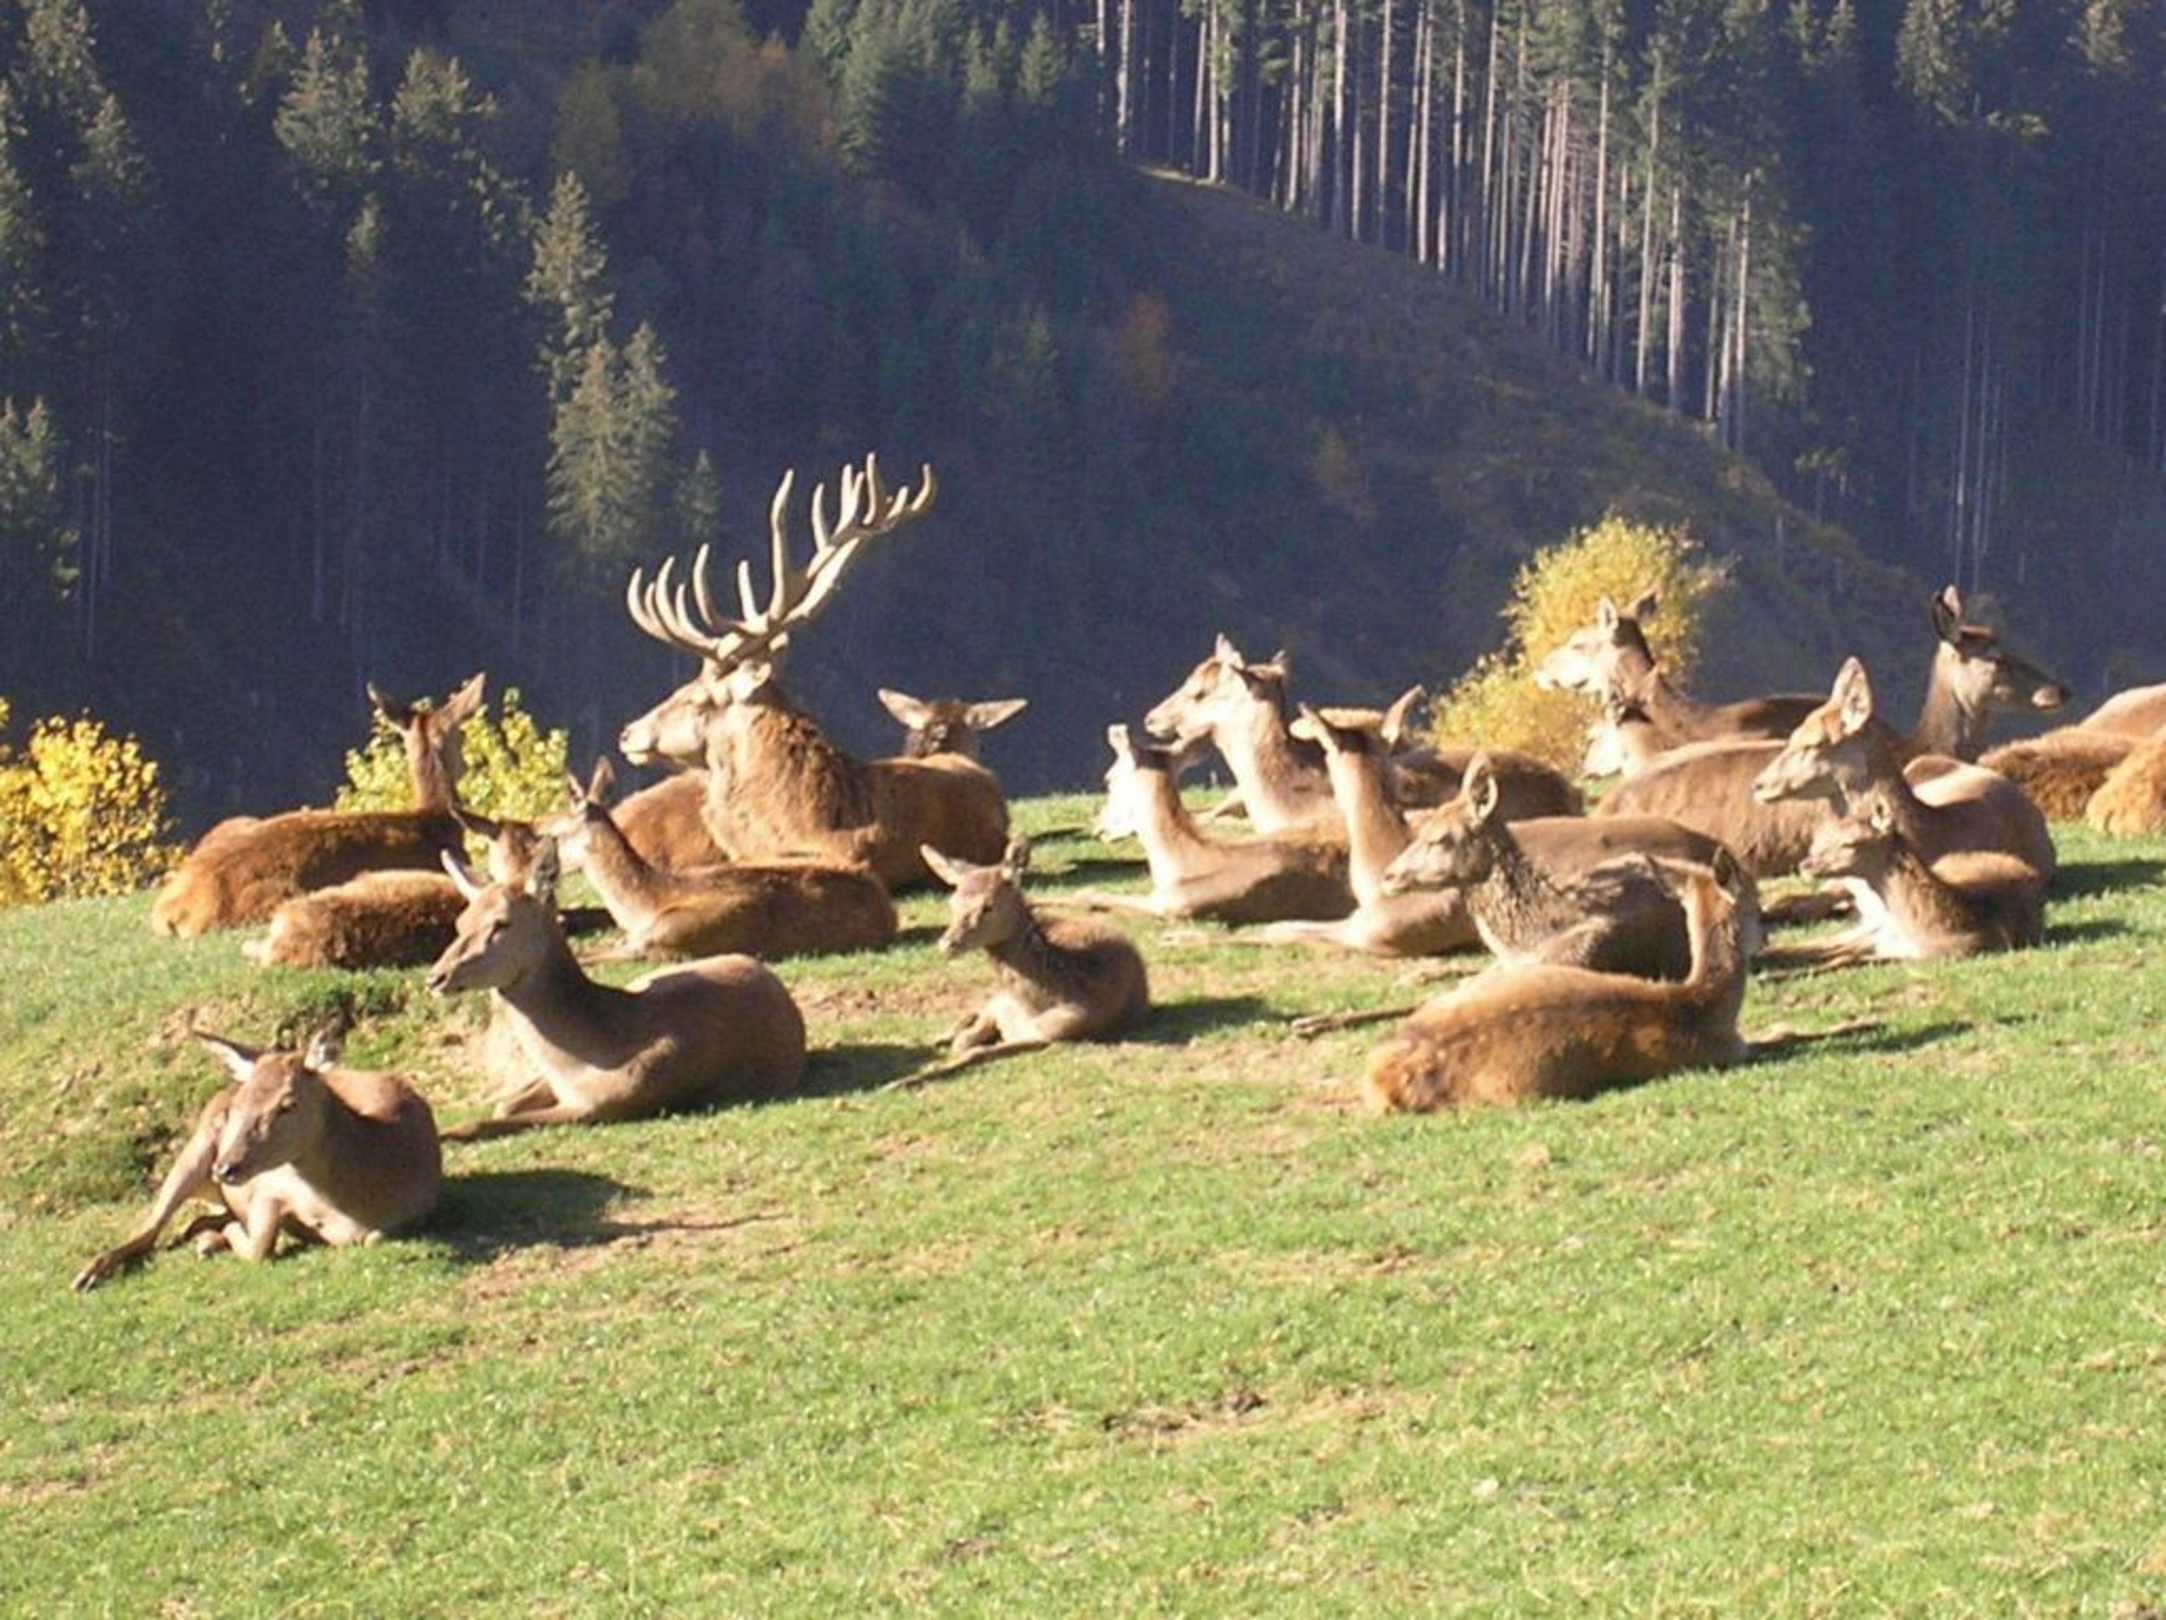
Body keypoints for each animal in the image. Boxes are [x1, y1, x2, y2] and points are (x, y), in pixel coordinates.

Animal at [73, 1023, 442, 1291]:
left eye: (288, 1103)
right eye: (239, 1105)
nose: (225, 1167)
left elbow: (374, 1238)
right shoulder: (269, 1188)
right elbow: (259, 1247)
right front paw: (232, 1235)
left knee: (196, 1219)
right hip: (195, 1148)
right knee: (151, 1227)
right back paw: (88, 1275)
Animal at [425, 851, 807, 1138]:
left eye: (501, 923)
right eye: (460, 921)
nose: (436, 977)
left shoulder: (603, 1107)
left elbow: (483, 1121)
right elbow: (503, 1105)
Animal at [888, 839, 1150, 1089]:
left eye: (988, 906)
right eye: (952, 902)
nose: (947, 943)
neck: (1035, 1006)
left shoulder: (1055, 1034)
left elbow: (975, 1052)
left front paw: (900, 1082)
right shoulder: (999, 1006)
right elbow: (965, 1040)